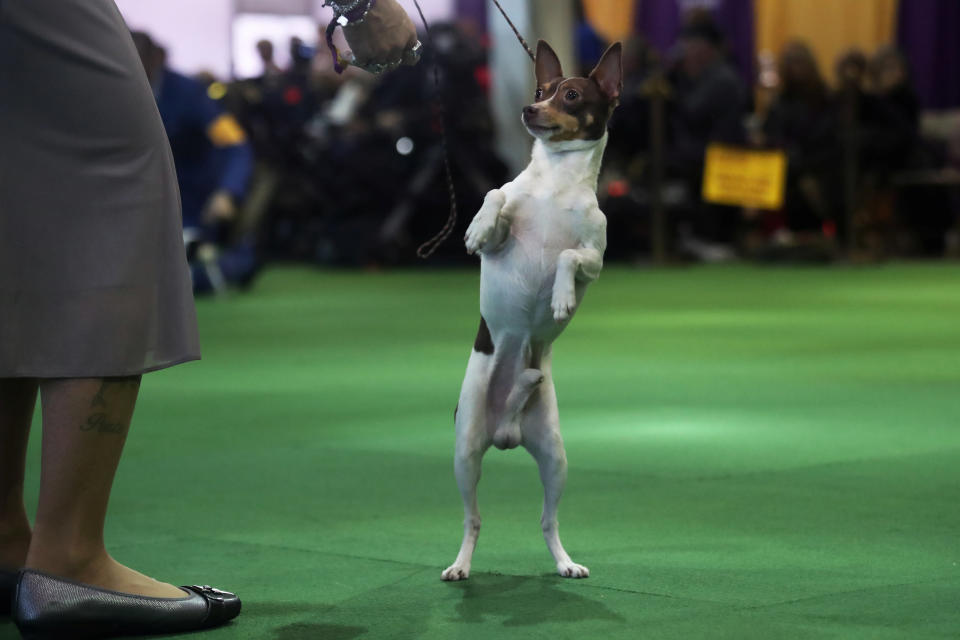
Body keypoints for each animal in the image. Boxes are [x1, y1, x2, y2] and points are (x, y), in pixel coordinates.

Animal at [440, 38, 624, 580]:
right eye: (541, 90)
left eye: (571, 95)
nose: (527, 109)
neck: (555, 184)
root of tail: (506, 430)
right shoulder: (502, 235)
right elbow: (495, 193)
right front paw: (476, 227)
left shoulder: (594, 260)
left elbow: (566, 255)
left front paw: (560, 298)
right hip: (465, 450)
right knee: (473, 520)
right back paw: (460, 566)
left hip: (554, 457)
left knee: (548, 521)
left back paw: (566, 563)